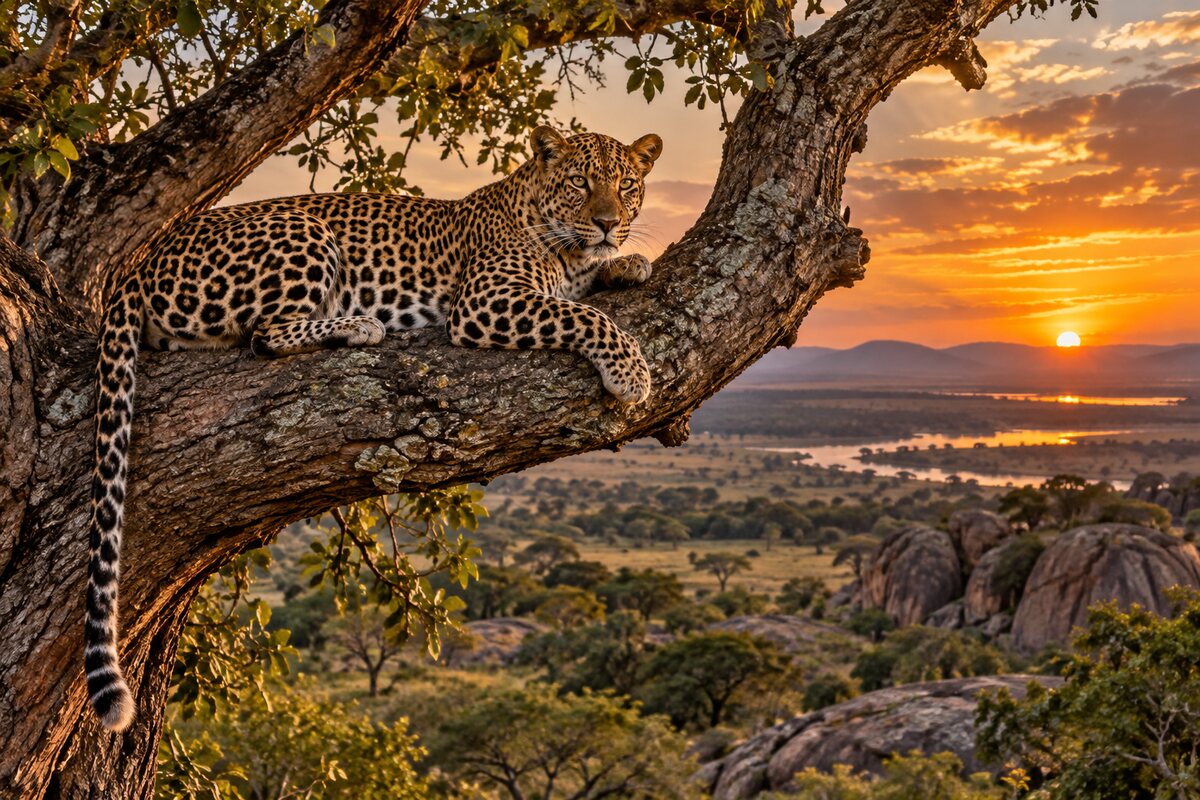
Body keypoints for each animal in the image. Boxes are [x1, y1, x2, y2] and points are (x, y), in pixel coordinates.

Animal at [84, 126, 663, 731]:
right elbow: (584, 315)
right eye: (580, 183)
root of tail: (143, 262)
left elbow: (591, 286)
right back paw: (359, 325)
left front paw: (630, 262)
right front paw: (631, 372)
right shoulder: (487, 300)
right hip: (306, 234)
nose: (607, 222)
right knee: (262, 334)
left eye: (626, 185)